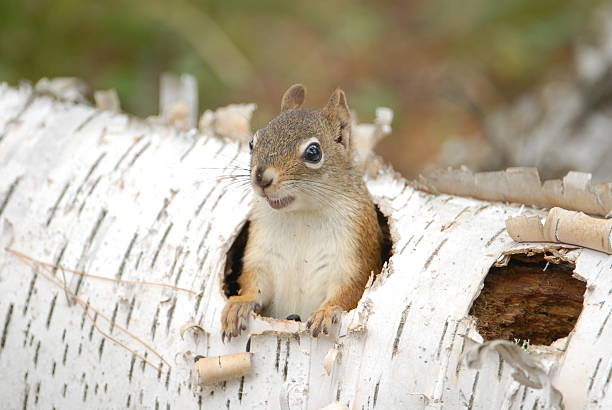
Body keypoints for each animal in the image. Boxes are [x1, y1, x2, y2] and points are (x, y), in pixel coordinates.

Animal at [220, 83, 382, 340]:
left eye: (313, 152)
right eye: (252, 143)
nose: (261, 177)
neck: (301, 216)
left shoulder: (353, 257)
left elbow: (349, 291)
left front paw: (327, 312)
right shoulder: (262, 254)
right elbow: (254, 283)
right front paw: (239, 304)